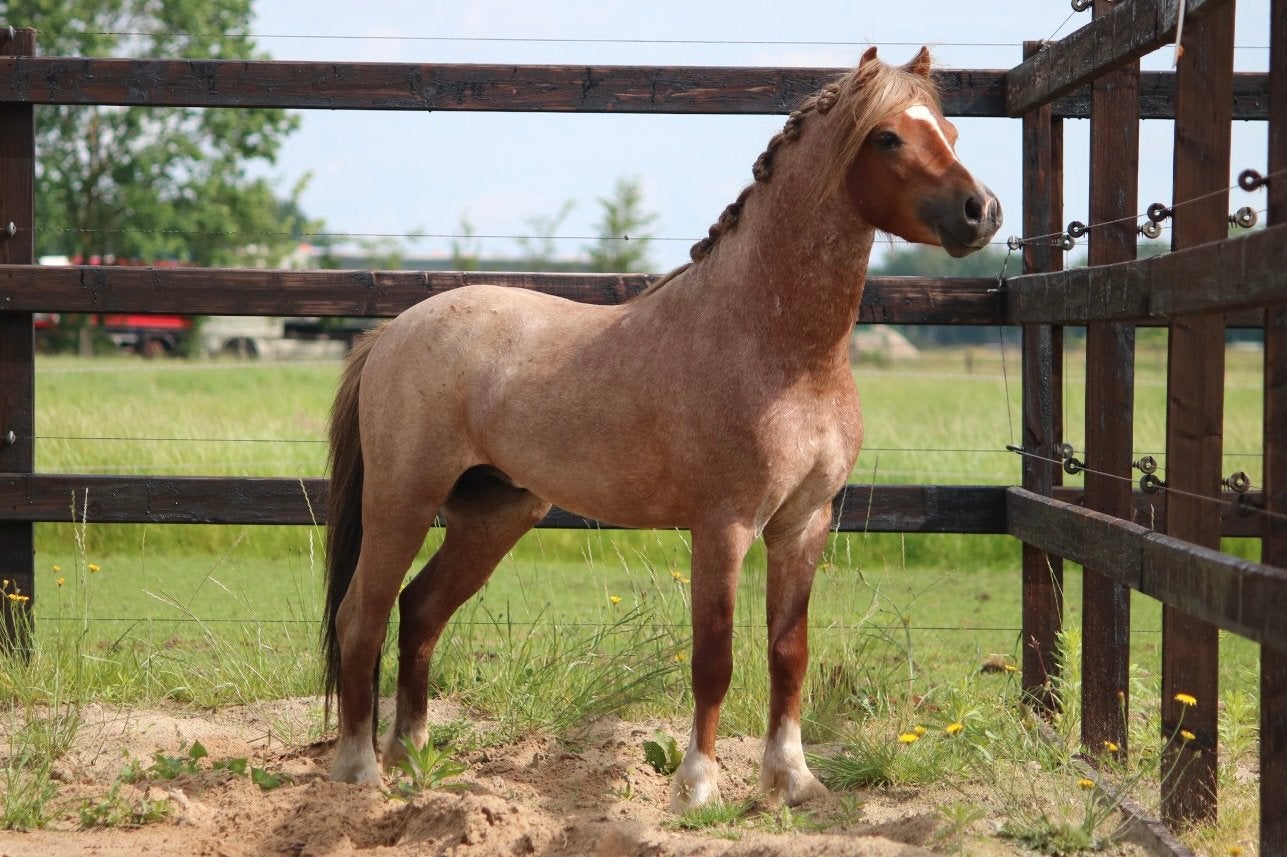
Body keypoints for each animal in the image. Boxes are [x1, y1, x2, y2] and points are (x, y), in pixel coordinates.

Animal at [322, 45, 1001, 812]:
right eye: (887, 137)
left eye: (950, 130)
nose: (981, 212)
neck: (778, 346)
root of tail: (392, 331)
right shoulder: (724, 526)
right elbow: (715, 657)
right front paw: (696, 786)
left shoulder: (803, 524)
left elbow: (787, 652)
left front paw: (791, 779)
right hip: (401, 504)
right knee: (361, 616)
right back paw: (359, 771)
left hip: (493, 515)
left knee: (419, 610)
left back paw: (412, 757)